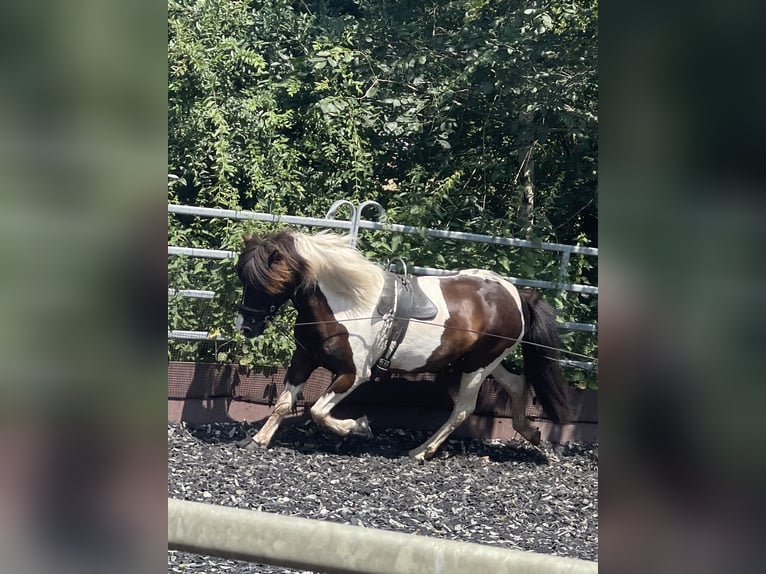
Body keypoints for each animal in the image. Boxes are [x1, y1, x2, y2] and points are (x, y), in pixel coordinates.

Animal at [234, 232, 568, 462]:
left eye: (267, 282)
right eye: (243, 278)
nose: (245, 326)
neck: (348, 306)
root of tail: (516, 293)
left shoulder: (354, 374)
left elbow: (317, 411)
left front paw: (360, 426)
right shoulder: (304, 357)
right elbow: (283, 403)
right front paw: (257, 440)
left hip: (478, 366)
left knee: (463, 409)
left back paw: (421, 451)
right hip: (485, 361)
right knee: (517, 384)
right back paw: (531, 432)